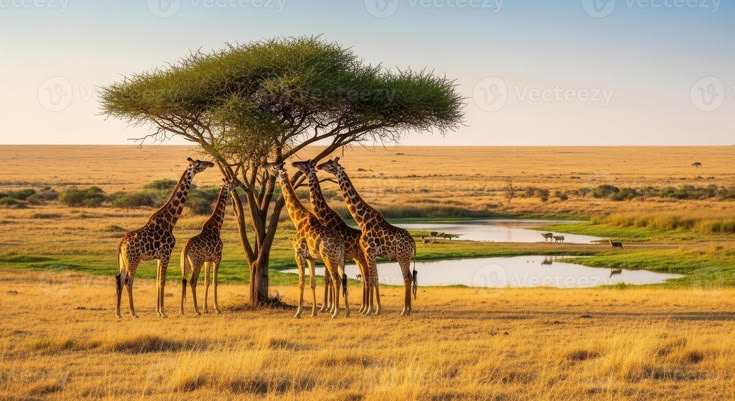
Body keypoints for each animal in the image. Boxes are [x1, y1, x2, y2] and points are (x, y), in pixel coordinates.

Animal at [115, 157, 214, 318]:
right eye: (200, 164)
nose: (211, 163)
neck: (170, 222)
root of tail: (121, 244)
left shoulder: (159, 257)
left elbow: (157, 281)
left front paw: (158, 311)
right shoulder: (167, 253)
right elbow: (162, 281)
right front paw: (163, 312)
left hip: (124, 260)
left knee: (119, 278)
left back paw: (118, 312)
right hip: (134, 259)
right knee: (128, 280)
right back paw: (133, 312)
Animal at [179, 178, 236, 315]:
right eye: (232, 183)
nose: (237, 185)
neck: (217, 227)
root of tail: (186, 249)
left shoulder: (207, 260)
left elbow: (207, 282)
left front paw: (206, 308)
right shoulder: (217, 258)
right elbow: (215, 282)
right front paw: (217, 308)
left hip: (185, 265)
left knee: (183, 281)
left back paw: (181, 310)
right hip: (197, 263)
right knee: (192, 282)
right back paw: (196, 310)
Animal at [263, 162, 349, 318]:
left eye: (273, 166)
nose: (264, 164)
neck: (298, 219)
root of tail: (340, 245)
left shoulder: (298, 254)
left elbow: (301, 282)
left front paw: (298, 312)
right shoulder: (311, 258)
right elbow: (312, 282)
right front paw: (314, 312)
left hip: (329, 258)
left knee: (336, 279)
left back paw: (335, 313)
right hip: (340, 259)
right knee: (343, 277)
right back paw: (347, 312)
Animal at [292, 160, 373, 314]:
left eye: (304, 164)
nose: (293, 163)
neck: (324, 217)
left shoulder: (328, 254)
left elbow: (329, 278)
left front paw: (328, 307)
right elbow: (329, 278)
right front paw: (329, 306)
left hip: (362, 258)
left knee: (368, 277)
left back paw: (368, 308)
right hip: (357, 259)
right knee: (365, 278)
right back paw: (363, 307)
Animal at [317, 157, 417, 316]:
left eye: (331, 164)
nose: (319, 165)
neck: (362, 220)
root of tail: (413, 242)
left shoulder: (369, 252)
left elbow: (371, 279)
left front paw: (370, 309)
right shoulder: (370, 254)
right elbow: (374, 278)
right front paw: (375, 309)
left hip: (402, 256)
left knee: (407, 278)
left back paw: (404, 311)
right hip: (404, 256)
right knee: (410, 277)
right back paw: (408, 309)